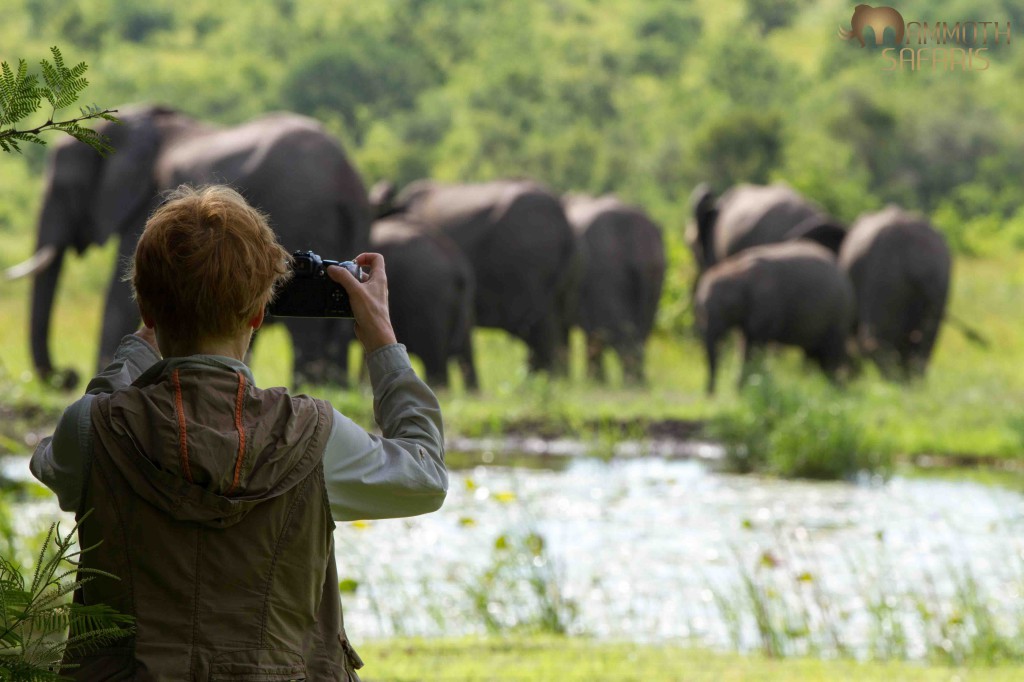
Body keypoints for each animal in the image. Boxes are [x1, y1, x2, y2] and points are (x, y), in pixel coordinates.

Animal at [12, 104, 371, 388]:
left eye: (65, 188)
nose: (67, 376)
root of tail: (350, 182)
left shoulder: (146, 204)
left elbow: (121, 295)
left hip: (305, 212)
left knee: (306, 333)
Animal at [562, 194, 666, 385]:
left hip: (606, 271)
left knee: (614, 332)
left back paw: (630, 382)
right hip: (655, 276)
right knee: (640, 332)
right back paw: (638, 381)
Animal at [695, 241, 854, 395]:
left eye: (726, 309)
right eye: (700, 311)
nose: (710, 394)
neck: (737, 271)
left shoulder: (764, 306)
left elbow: (754, 345)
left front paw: (746, 388)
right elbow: (744, 342)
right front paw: (740, 389)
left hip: (838, 315)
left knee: (830, 353)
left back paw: (835, 389)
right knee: (816, 354)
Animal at [838, 205, 951, 380]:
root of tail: (915, 264)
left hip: (884, 281)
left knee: (875, 343)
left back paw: (894, 381)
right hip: (938, 281)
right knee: (923, 347)